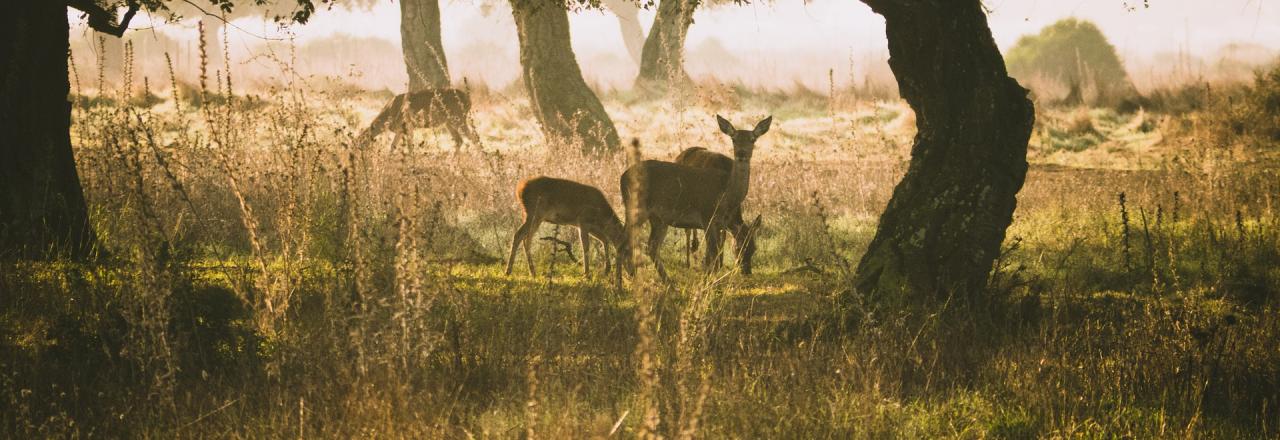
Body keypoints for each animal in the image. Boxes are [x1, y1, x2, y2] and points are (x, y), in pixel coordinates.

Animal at [504, 175, 634, 285]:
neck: (600, 216)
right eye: (627, 250)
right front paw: (587, 274)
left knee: (526, 239)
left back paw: (532, 272)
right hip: (535, 213)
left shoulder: (590, 226)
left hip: (530, 215)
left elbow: (604, 240)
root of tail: (519, 189)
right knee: (519, 235)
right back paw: (509, 271)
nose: (632, 273)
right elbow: (586, 247)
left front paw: (606, 270)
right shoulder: (583, 220)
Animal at [622, 113, 768, 278]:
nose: (746, 271)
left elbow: (715, 251)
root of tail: (622, 177)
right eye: (734, 138)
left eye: (754, 248)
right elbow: (712, 254)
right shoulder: (707, 217)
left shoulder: (719, 224)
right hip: (636, 209)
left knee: (650, 246)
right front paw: (709, 277)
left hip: (658, 218)